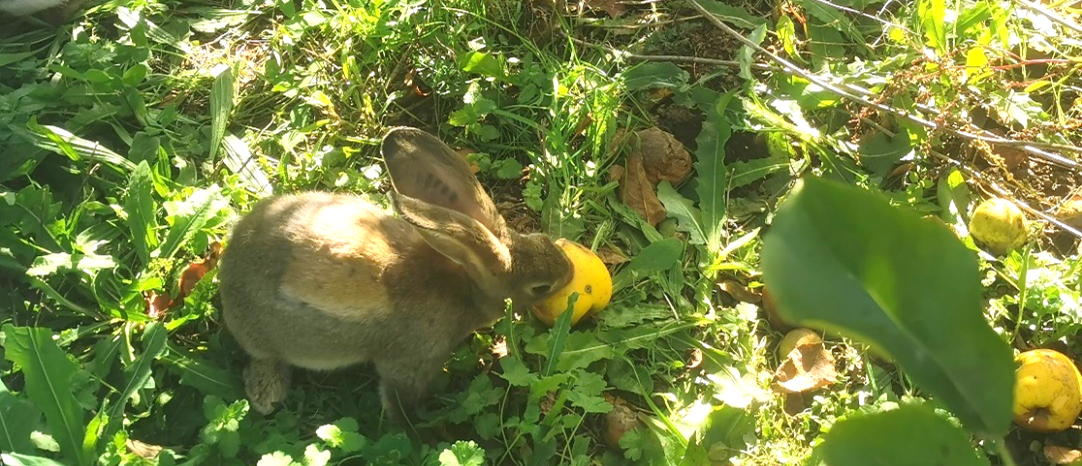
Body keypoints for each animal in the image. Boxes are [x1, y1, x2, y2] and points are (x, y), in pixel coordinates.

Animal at [217, 125, 575, 421]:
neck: (464, 281)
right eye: (540, 287)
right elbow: (398, 397)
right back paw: (267, 394)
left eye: (542, 240)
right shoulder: (410, 361)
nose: (569, 271)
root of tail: (230, 261)